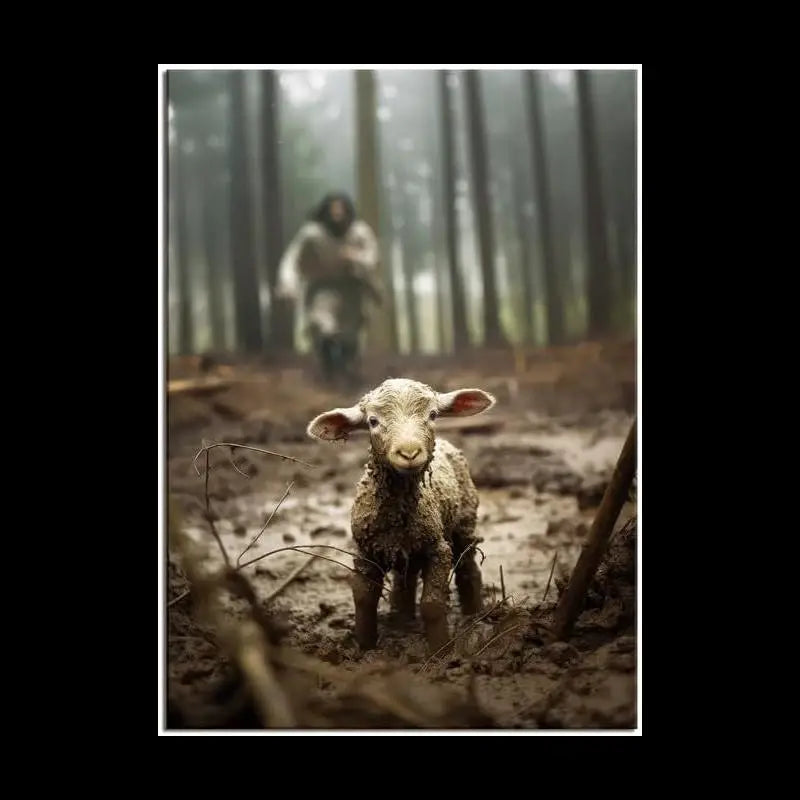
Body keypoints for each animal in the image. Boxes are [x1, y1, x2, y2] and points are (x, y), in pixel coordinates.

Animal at [307, 378, 496, 655]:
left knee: (468, 567)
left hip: (464, 521)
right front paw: (364, 647)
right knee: (404, 579)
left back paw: (475, 615)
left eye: (433, 414)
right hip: (407, 548)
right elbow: (363, 598)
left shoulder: (438, 549)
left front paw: (441, 651)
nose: (409, 453)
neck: (397, 512)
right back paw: (401, 618)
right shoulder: (364, 550)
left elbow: (432, 604)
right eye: (373, 421)